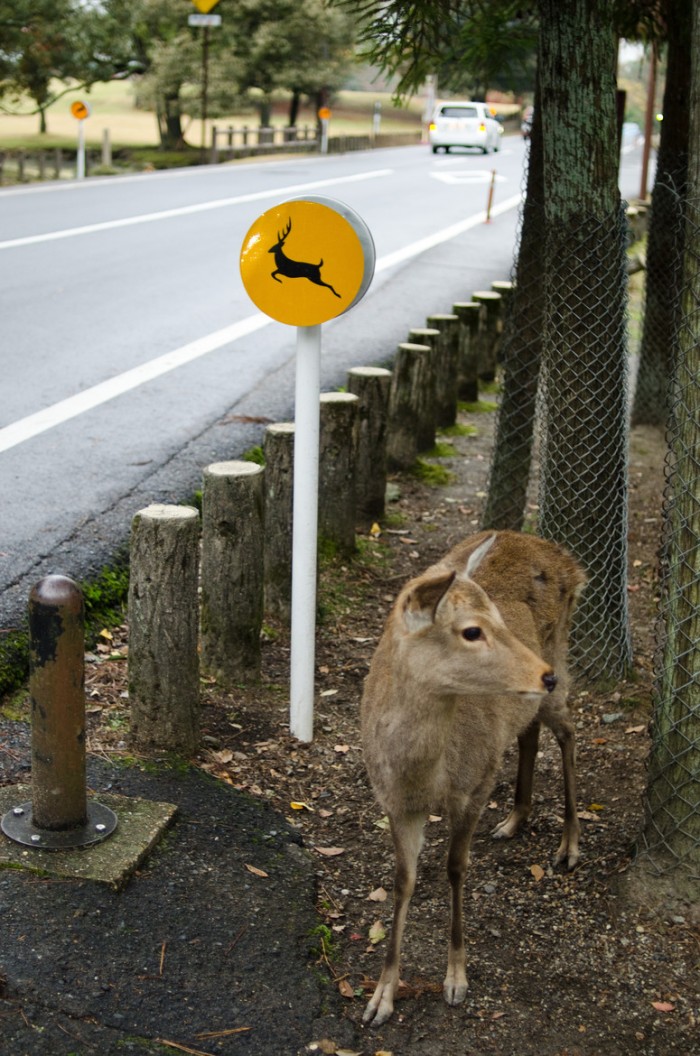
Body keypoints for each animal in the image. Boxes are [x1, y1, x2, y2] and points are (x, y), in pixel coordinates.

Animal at [361, 528, 587, 1022]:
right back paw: (515, 818)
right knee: (529, 732)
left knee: (567, 730)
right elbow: (402, 881)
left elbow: (455, 867)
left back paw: (569, 845)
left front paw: (456, 979)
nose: (544, 676)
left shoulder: (476, 783)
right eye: (471, 631)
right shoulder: (393, 802)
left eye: (501, 619)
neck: (425, 776)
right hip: (525, 699)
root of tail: (568, 561)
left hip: (560, 652)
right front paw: (381, 997)